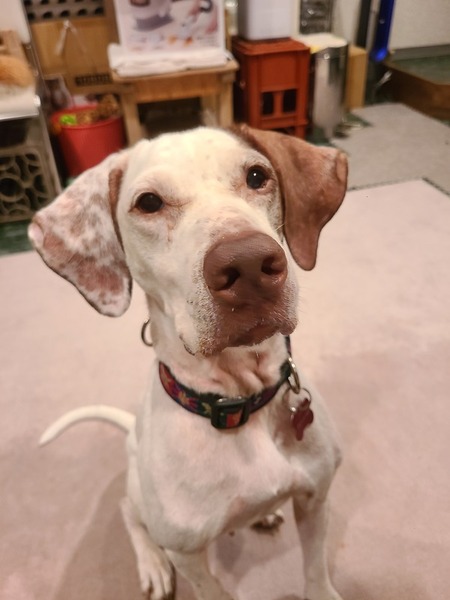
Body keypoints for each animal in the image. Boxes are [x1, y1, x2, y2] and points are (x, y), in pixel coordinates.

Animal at [29, 125, 348, 600]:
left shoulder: (316, 497)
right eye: (148, 202)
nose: (249, 264)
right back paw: (151, 564)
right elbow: (208, 586)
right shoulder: (188, 554)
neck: (238, 400)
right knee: (127, 511)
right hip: (139, 496)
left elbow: (315, 572)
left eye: (257, 176)